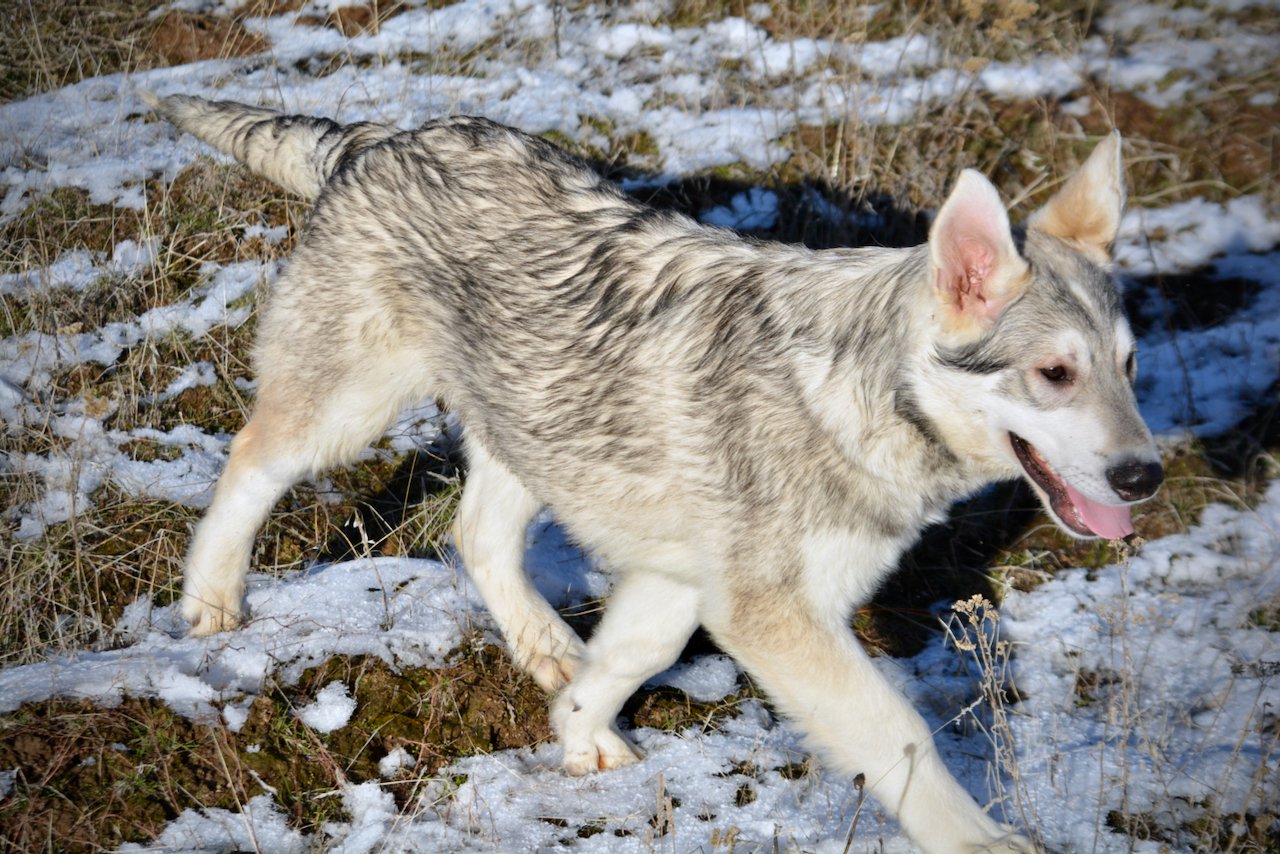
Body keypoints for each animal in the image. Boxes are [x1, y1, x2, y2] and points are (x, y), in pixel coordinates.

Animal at [145, 90, 1167, 850]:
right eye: (1056, 374)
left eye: (1129, 366)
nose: (1145, 479)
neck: (856, 393)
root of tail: (383, 136)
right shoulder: (775, 615)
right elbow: (902, 736)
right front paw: (986, 841)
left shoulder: (687, 582)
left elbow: (634, 656)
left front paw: (579, 733)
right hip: (348, 414)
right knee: (249, 464)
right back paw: (211, 602)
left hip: (535, 430)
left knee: (478, 537)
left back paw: (547, 649)